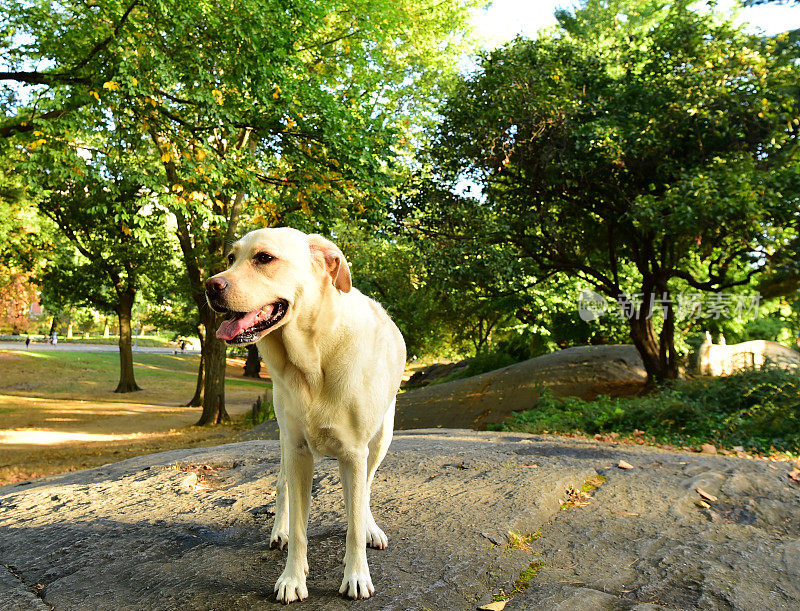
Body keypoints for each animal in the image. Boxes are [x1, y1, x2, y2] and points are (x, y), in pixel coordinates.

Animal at [206, 228, 406, 604]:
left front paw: (356, 575)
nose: (210, 285)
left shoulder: (355, 452)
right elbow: (300, 527)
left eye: (264, 258)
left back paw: (370, 526)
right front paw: (292, 578)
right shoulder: (297, 449)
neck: (313, 359)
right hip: (286, 442)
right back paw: (280, 530)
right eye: (231, 258)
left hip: (380, 440)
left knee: (365, 490)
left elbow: (354, 521)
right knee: (283, 487)